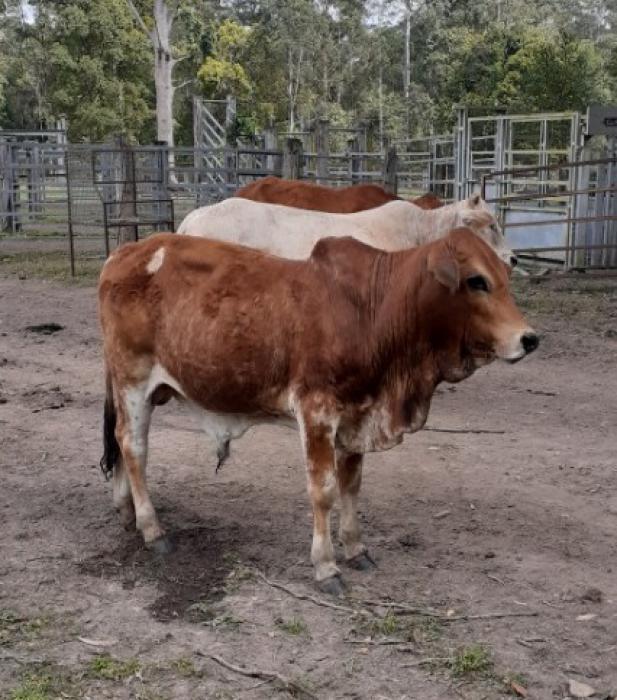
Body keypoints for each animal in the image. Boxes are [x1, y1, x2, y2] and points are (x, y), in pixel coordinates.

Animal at [98, 228, 537, 594]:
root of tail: (123, 252)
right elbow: (324, 491)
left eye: (504, 274)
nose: (529, 339)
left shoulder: (358, 414)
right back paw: (153, 529)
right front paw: (326, 567)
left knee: (119, 441)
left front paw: (356, 549)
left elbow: (352, 485)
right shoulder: (316, 411)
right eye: (476, 280)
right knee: (133, 445)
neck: (374, 310)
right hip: (133, 380)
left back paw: (126, 510)